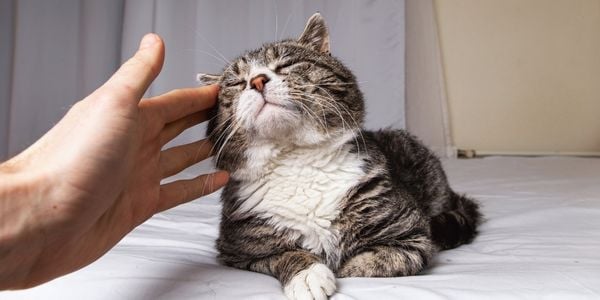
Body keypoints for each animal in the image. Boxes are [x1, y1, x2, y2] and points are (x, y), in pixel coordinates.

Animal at [200, 12, 482, 300]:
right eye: (236, 83)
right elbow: (283, 254)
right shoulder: (236, 250)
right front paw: (307, 274)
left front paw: (342, 268)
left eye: (285, 64)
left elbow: (378, 262)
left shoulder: (412, 234)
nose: (256, 81)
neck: (297, 160)